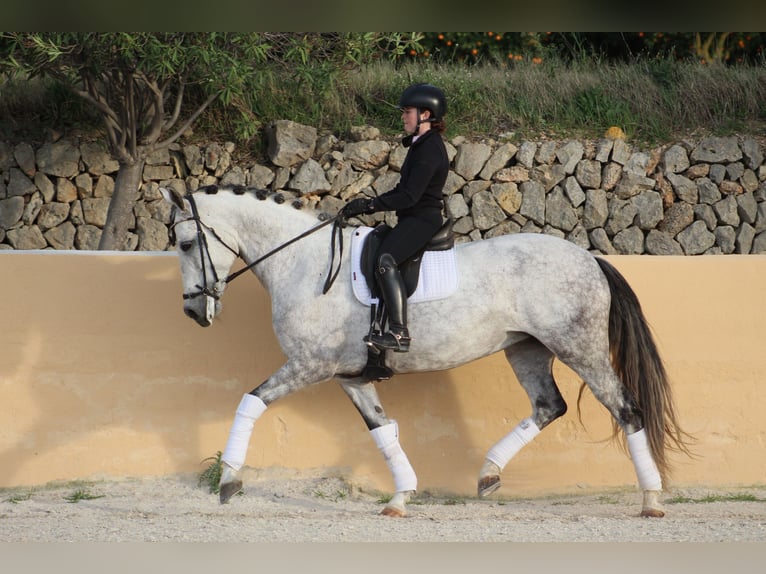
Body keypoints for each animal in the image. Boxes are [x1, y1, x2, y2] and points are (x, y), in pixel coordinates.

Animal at [160, 184, 690, 518]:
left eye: (185, 243)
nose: (192, 312)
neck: (304, 264)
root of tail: (589, 258)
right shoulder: (351, 377)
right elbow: (383, 431)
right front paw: (400, 498)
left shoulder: (310, 365)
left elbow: (250, 401)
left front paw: (229, 481)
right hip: (527, 349)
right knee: (548, 406)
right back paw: (488, 475)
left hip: (580, 347)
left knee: (627, 411)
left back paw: (651, 501)